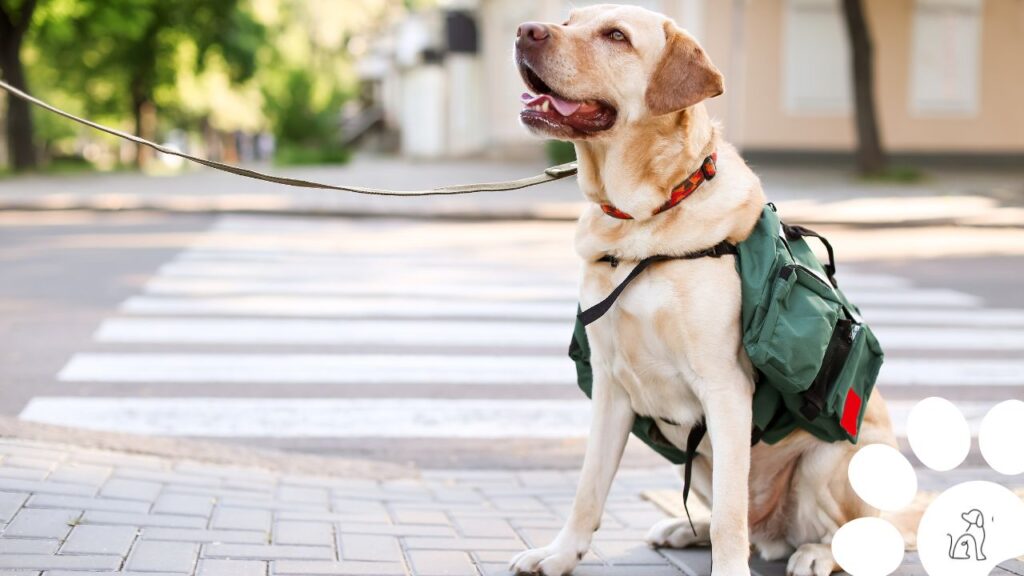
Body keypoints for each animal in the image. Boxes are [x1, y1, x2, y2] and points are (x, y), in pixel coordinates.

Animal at [512, 5, 897, 573]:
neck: (641, 224)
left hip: (829, 462)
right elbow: (588, 487)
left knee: (847, 534)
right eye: (569, 18)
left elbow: (728, 519)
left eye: (616, 36)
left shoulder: (725, 388)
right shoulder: (609, 384)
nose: (524, 31)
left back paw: (813, 554)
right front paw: (560, 554)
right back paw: (680, 528)